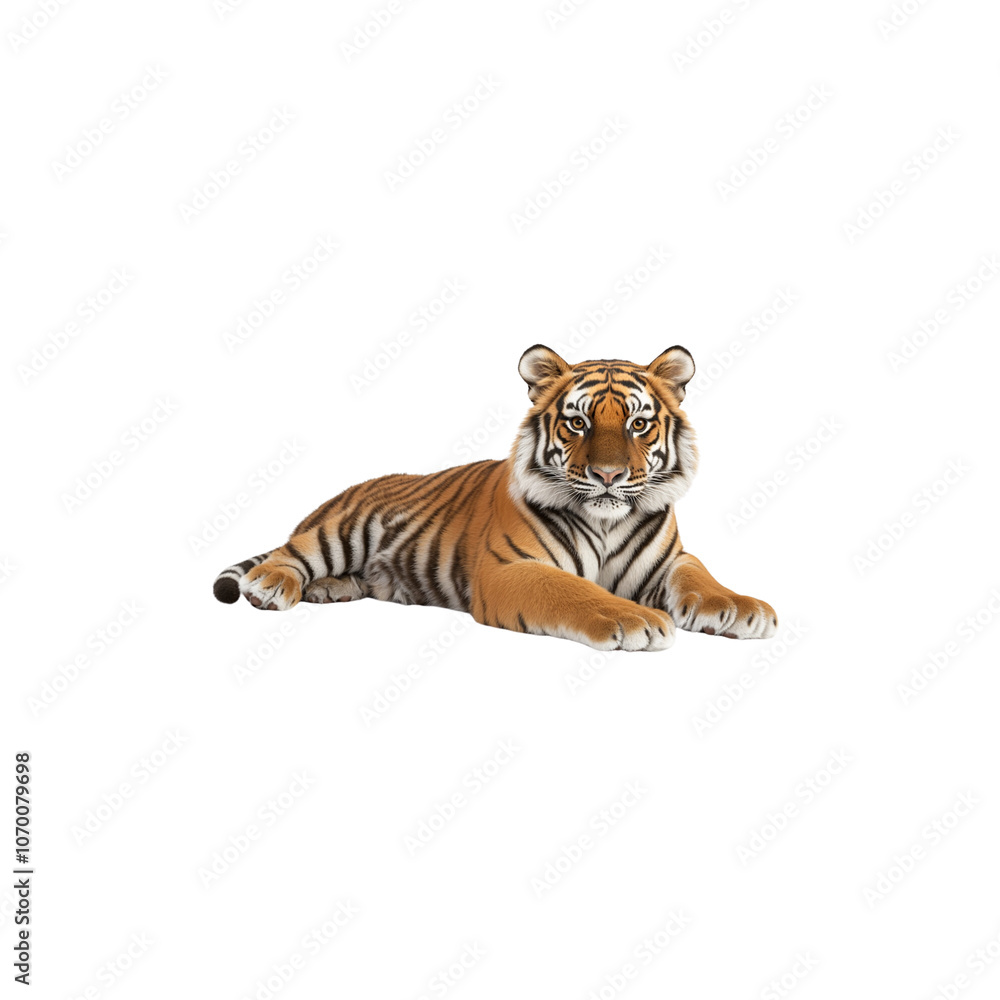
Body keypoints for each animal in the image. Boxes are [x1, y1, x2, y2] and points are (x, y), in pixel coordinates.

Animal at [213, 345, 777, 651]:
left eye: (638, 425)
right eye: (578, 423)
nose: (608, 475)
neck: (606, 520)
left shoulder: (670, 561)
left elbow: (700, 575)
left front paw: (741, 610)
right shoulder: (511, 567)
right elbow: (575, 591)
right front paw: (634, 619)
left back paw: (334, 589)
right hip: (338, 530)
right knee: (289, 555)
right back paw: (273, 586)